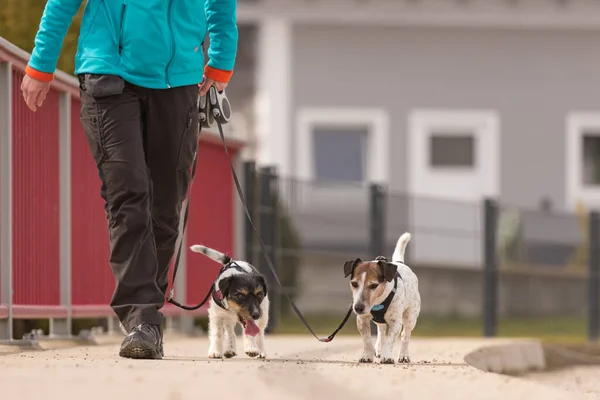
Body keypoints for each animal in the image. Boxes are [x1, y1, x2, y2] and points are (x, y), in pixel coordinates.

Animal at [342, 231, 422, 366]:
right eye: (354, 283)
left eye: (373, 285)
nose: (358, 308)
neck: (377, 302)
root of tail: (400, 263)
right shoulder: (362, 320)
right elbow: (367, 340)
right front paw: (367, 356)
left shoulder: (396, 322)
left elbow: (390, 340)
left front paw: (387, 357)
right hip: (380, 321)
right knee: (381, 330)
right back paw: (379, 348)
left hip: (410, 317)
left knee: (405, 336)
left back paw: (404, 356)